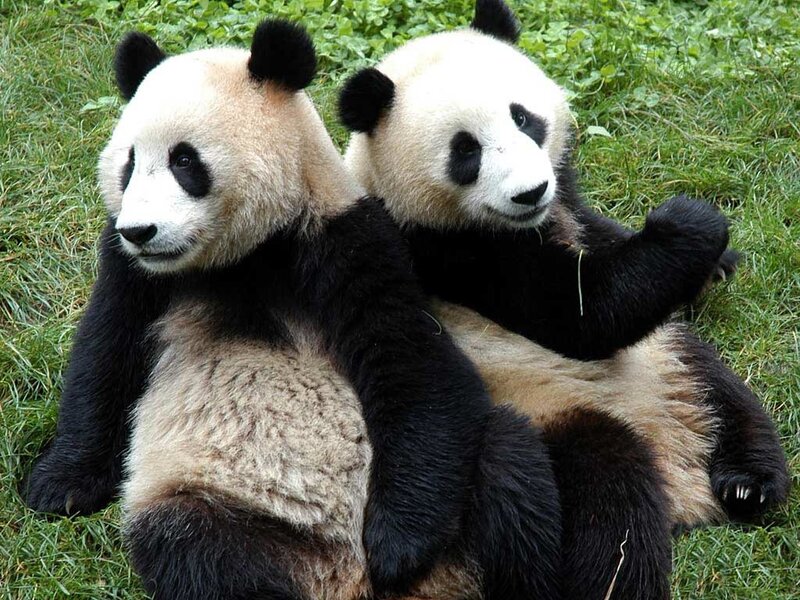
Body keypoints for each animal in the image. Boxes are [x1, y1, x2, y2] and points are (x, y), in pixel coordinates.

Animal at [23, 19, 565, 600]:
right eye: (128, 164)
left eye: (183, 160)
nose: (140, 231)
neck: (244, 254)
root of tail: (342, 581)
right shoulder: (136, 275)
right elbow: (105, 356)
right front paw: (58, 486)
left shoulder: (345, 241)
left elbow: (415, 364)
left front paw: (398, 546)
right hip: (215, 503)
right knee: (198, 555)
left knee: (509, 475)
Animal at [338, 0, 790, 597]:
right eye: (466, 151)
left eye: (523, 118)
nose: (530, 192)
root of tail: (682, 480)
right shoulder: (443, 253)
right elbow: (582, 313)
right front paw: (691, 224)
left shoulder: (568, 207)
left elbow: (601, 237)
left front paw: (718, 261)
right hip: (552, 411)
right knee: (611, 495)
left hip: (669, 359)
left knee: (723, 391)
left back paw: (748, 480)